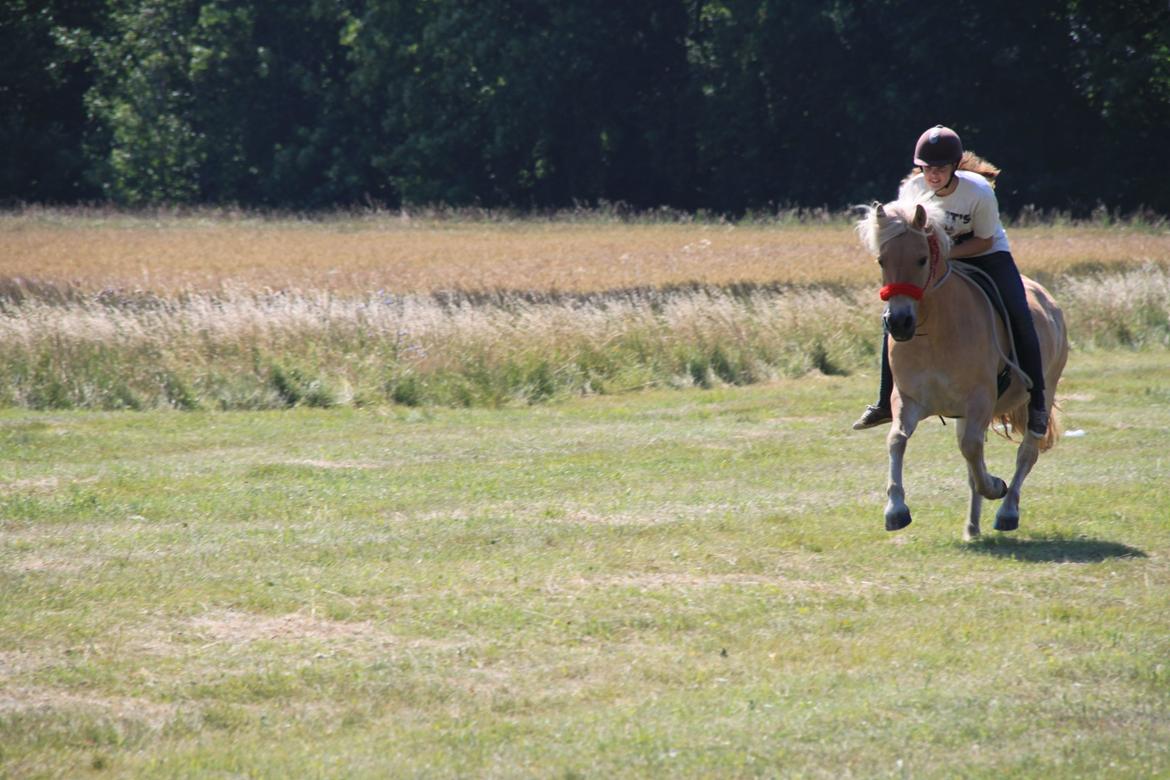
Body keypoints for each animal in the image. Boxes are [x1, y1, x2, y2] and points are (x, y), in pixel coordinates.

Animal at [856, 198, 1067, 540]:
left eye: (921, 259)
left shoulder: (979, 400)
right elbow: (897, 439)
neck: (935, 329)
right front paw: (896, 510)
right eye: (881, 260)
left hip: (1043, 394)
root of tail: (1049, 301)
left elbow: (972, 450)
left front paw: (995, 485)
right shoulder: (909, 400)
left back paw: (1007, 510)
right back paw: (972, 526)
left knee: (1026, 451)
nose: (898, 323)